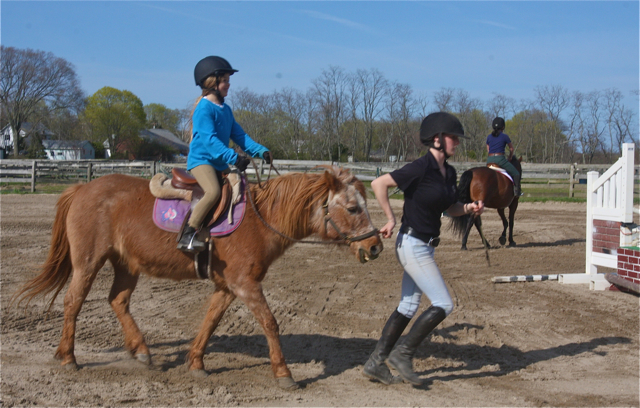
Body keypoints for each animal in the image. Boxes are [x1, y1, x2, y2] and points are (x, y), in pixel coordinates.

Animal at [12, 166, 383, 390]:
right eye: (353, 208)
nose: (376, 246)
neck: (260, 219)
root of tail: (82, 187)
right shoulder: (245, 285)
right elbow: (270, 323)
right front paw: (284, 373)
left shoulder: (228, 286)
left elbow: (210, 321)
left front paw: (196, 362)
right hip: (88, 262)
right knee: (73, 301)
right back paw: (68, 357)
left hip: (126, 264)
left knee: (117, 300)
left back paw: (141, 351)